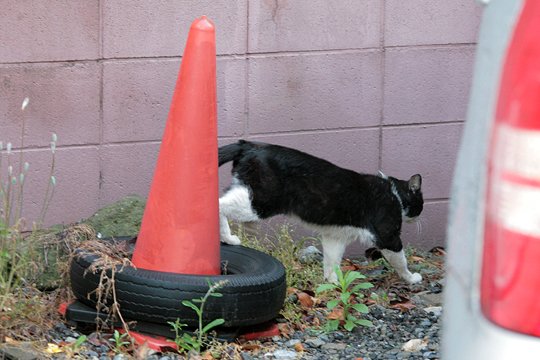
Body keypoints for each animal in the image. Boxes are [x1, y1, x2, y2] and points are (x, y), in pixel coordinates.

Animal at [217, 141, 424, 284]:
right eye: (420, 203)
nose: (418, 217)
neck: (395, 194)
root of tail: (249, 144)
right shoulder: (388, 236)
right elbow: (400, 260)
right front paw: (411, 278)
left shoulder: (335, 237)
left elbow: (332, 261)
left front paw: (333, 284)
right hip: (260, 202)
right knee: (218, 203)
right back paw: (227, 236)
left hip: (249, 192)